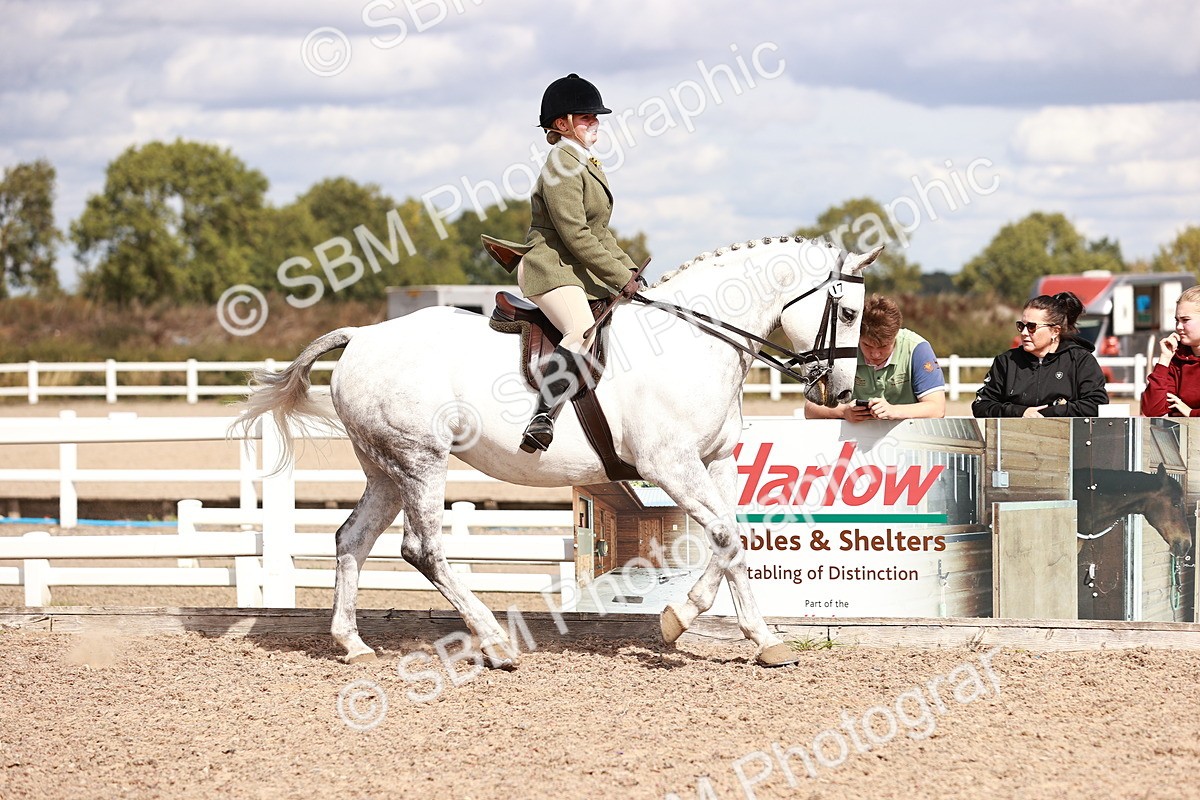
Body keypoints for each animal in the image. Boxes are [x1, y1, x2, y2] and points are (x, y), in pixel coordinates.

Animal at [235, 236, 880, 668]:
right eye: (848, 312)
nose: (841, 394)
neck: (695, 341)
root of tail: (363, 336)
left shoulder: (715, 460)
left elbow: (735, 540)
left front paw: (755, 637)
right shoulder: (670, 465)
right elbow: (724, 536)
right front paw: (683, 620)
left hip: (386, 469)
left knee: (352, 540)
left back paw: (353, 644)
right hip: (420, 462)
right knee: (423, 549)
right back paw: (496, 644)